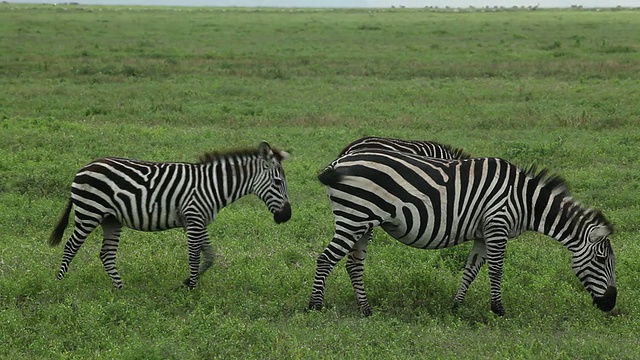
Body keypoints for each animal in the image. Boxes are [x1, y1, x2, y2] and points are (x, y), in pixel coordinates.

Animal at [49, 141, 292, 290]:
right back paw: (59, 283)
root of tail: (84, 167)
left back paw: (120, 289)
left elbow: (210, 256)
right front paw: (192, 288)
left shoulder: (199, 221)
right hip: (89, 213)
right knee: (70, 246)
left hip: (111, 219)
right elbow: (194, 256)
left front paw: (187, 282)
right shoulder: (193, 219)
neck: (213, 185)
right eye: (277, 182)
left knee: (106, 254)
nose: (287, 216)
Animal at [308, 149, 616, 316]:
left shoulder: (482, 233)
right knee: (326, 259)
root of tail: (339, 162)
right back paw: (314, 307)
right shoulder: (497, 225)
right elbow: (496, 270)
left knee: (353, 265)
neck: (525, 201)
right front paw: (499, 310)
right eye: (602, 261)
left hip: (363, 221)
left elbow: (471, 270)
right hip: (354, 217)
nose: (610, 304)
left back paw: (366, 310)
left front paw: (456, 306)